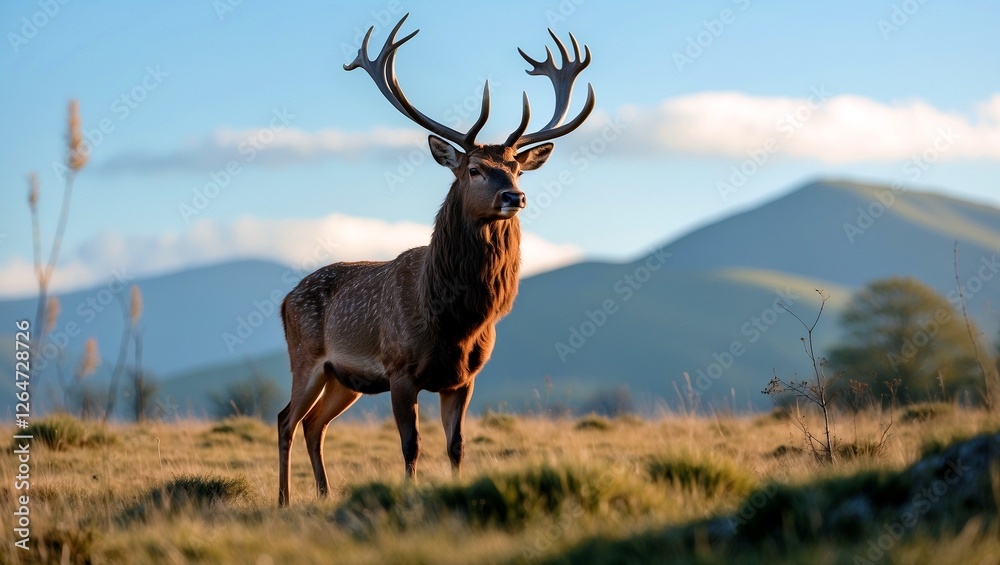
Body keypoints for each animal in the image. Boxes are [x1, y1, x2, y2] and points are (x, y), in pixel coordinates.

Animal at [277, 14, 595, 506]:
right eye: (474, 169)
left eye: (517, 169)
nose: (515, 196)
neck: (453, 321)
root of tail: (284, 301)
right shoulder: (399, 369)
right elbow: (411, 445)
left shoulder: (464, 377)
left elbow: (456, 445)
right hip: (306, 356)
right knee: (285, 420)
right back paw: (285, 500)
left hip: (342, 378)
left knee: (313, 424)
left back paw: (326, 495)